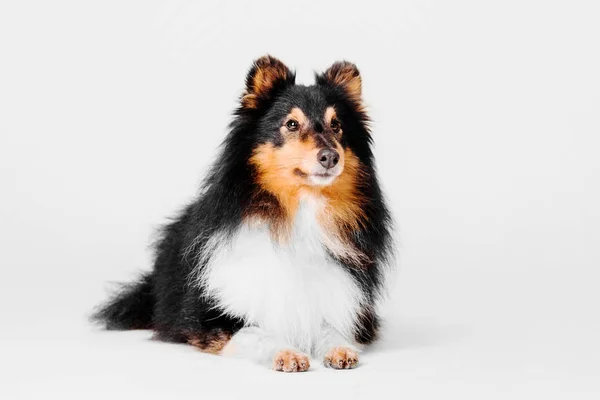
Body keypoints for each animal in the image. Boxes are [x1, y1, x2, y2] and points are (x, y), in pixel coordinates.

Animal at [91, 56, 396, 372]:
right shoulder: (209, 318)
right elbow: (254, 331)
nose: (330, 157)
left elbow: (329, 327)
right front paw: (287, 354)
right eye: (291, 124)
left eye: (337, 125)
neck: (300, 209)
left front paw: (341, 350)